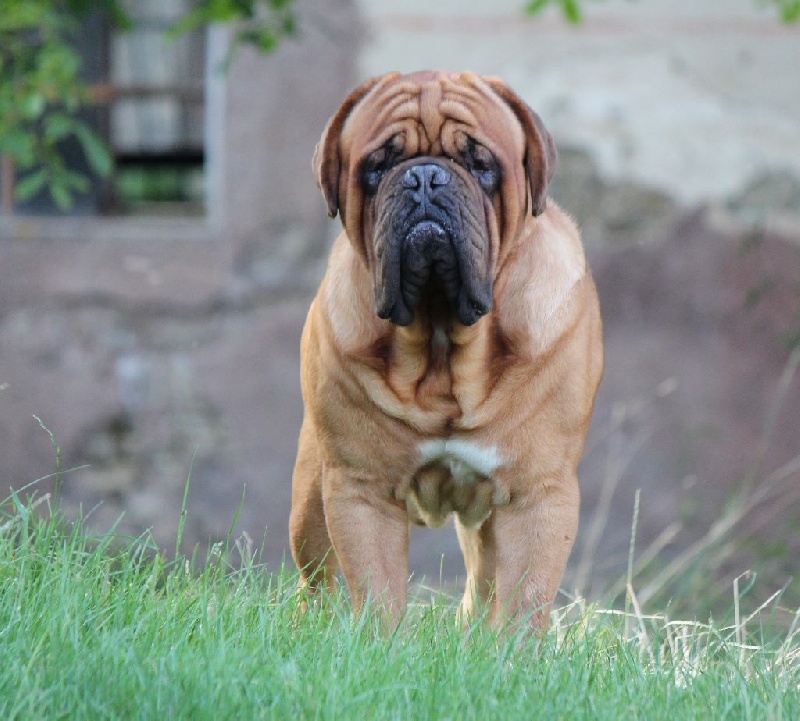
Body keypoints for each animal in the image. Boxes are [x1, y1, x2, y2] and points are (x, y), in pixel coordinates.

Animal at [288, 69, 600, 632]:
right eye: (376, 167)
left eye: (481, 165)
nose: (425, 179)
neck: (440, 342)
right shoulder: (360, 487)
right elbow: (376, 590)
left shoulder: (538, 493)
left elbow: (525, 600)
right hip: (311, 494)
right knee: (316, 577)